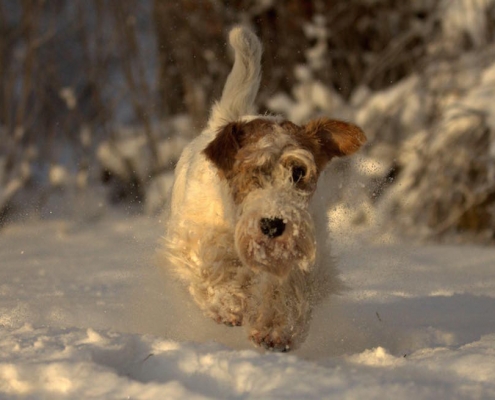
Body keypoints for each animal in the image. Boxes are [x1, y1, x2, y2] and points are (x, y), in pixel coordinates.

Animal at [161, 26, 366, 352]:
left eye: (298, 171)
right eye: (251, 169)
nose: (272, 224)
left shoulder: (305, 254)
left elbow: (286, 288)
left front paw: (275, 329)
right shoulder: (194, 238)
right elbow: (211, 265)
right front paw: (228, 303)